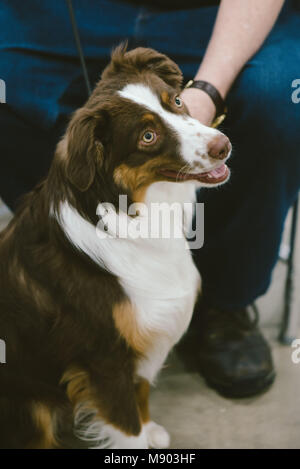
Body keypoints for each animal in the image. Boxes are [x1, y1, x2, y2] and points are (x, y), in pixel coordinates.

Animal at [0, 44, 231, 450]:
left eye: (176, 101)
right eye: (148, 136)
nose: (223, 145)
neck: (132, 212)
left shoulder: (140, 341)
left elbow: (141, 393)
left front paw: (150, 429)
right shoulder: (104, 359)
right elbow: (127, 426)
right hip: (29, 408)